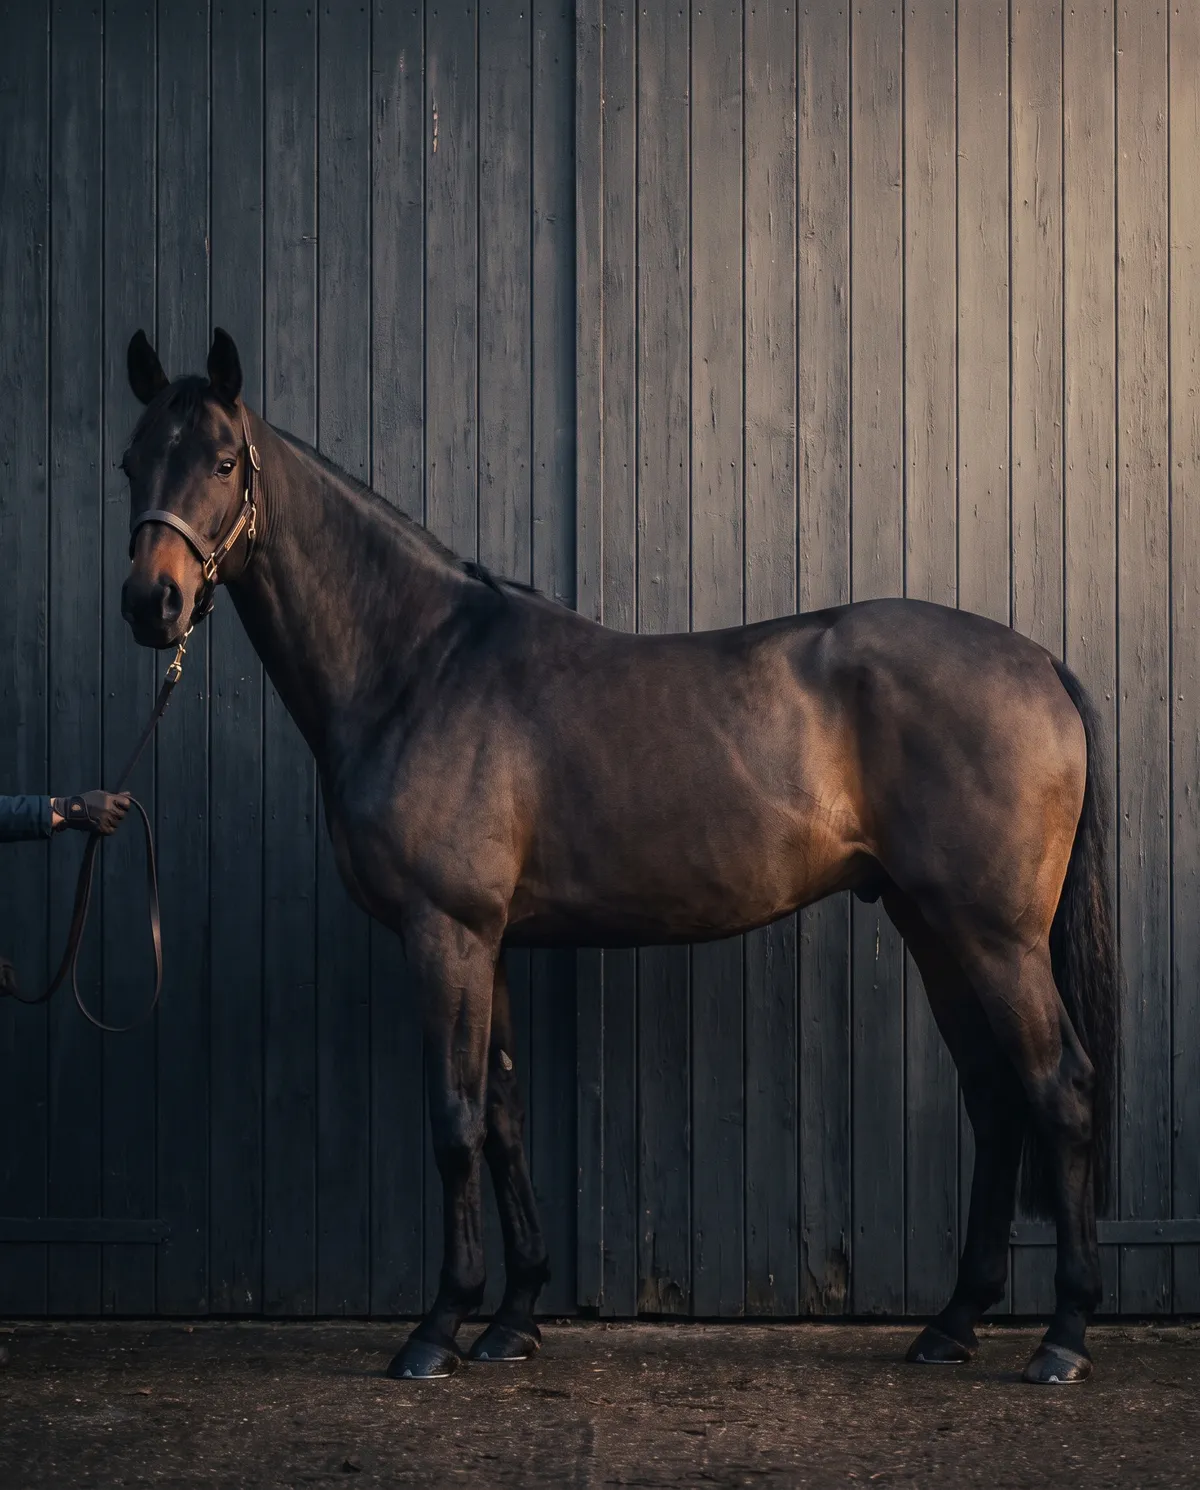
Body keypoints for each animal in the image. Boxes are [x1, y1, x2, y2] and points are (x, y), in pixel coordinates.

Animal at [119, 328, 1118, 1385]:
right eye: (132, 461)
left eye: (223, 462)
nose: (152, 602)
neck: (418, 665)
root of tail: (1040, 664)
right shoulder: (488, 942)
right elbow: (505, 1116)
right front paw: (515, 1317)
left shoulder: (445, 934)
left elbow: (454, 1121)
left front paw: (438, 1328)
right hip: (935, 927)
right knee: (996, 1097)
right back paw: (953, 1323)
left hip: (995, 937)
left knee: (1059, 1090)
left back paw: (1062, 1337)